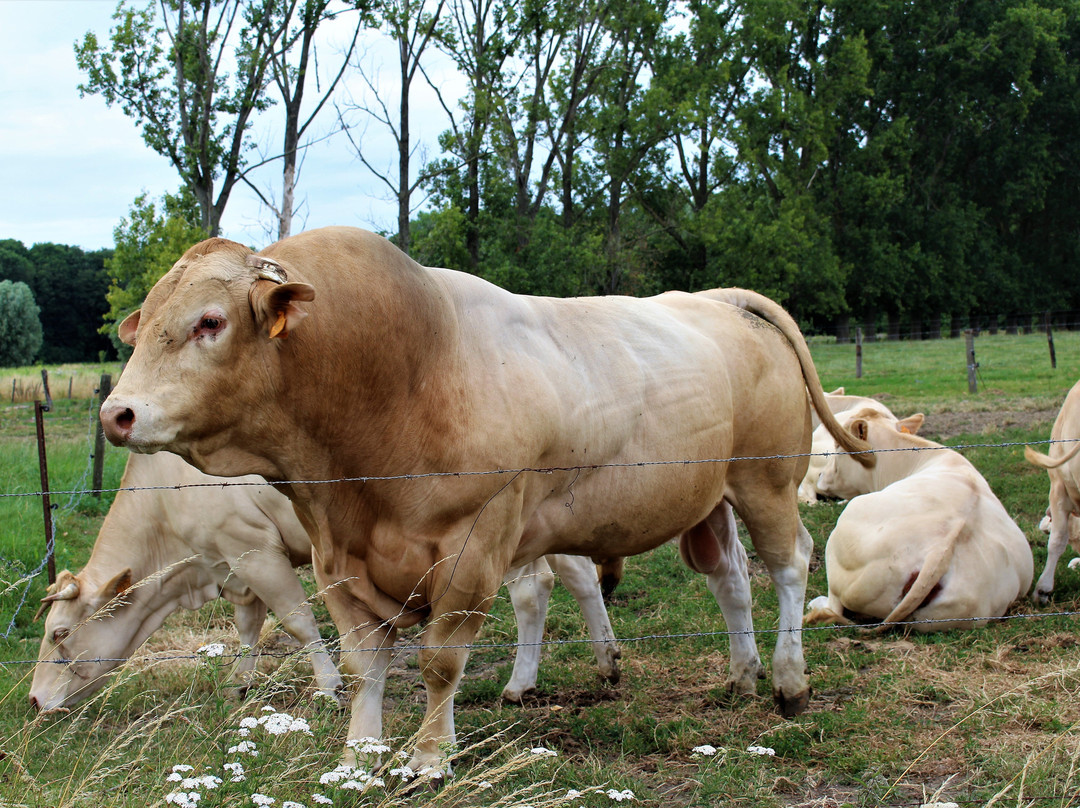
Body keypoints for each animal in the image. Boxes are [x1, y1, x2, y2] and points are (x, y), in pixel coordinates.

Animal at [99, 225, 868, 769]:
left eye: (209, 321)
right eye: (149, 320)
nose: (117, 413)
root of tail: (718, 298)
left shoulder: (475, 541)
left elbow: (441, 661)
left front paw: (429, 757)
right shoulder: (335, 558)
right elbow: (362, 665)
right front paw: (358, 757)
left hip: (767, 479)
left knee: (788, 565)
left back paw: (789, 681)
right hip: (709, 497)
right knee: (730, 579)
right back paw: (741, 674)